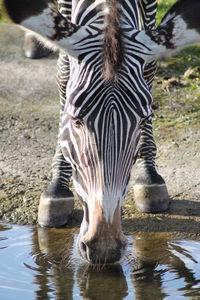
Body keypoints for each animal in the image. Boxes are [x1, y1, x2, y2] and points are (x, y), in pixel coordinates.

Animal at [3, 0, 200, 264]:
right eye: (75, 119)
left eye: (144, 119)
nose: (105, 246)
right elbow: (64, 72)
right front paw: (57, 187)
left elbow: (149, 70)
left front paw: (149, 175)